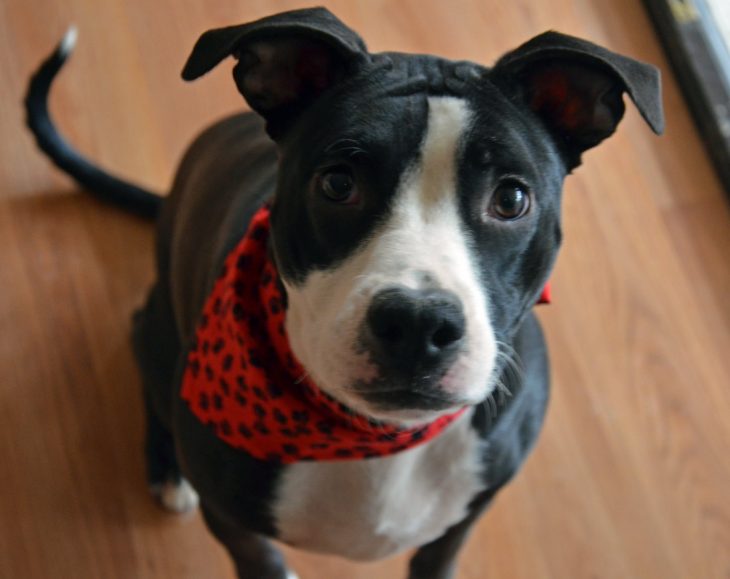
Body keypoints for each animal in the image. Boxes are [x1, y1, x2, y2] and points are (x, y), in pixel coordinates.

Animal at [25, 7, 660, 579]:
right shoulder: (237, 530)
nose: (418, 324)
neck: (374, 437)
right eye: (336, 183)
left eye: (511, 199)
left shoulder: (460, 522)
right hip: (157, 332)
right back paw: (166, 470)